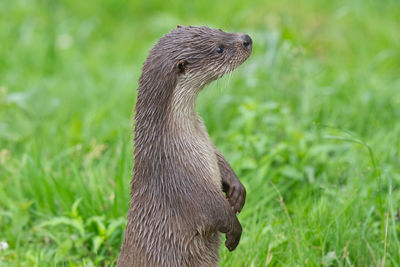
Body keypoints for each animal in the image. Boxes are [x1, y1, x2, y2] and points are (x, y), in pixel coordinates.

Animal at [117, 25, 252, 267]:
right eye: (219, 49)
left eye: (219, 29)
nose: (246, 39)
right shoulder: (183, 180)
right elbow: (214, 210)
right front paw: (234, 233)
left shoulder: (206, 141)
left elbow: (220, 160)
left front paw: (237, 190)